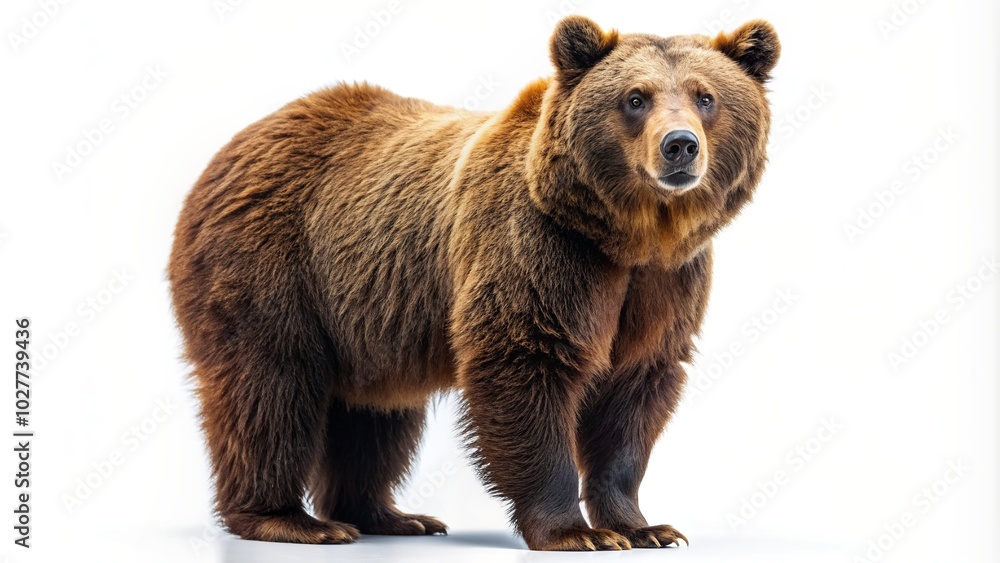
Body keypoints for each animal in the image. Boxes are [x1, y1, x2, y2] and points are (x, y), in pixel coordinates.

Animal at [168, 15, 779, 551]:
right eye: (635, 98)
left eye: (705, 97)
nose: (680, 145)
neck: (630, 237)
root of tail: (233, 148)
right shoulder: (541, 248)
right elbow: (527, 366)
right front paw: (574, 531)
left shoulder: (665, 284)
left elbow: (634, 392)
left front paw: (645, 528)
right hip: (272, 264)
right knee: (270, 385)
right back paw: (290, 520)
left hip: (366, 312)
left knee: (376, 414)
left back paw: (392, 516)